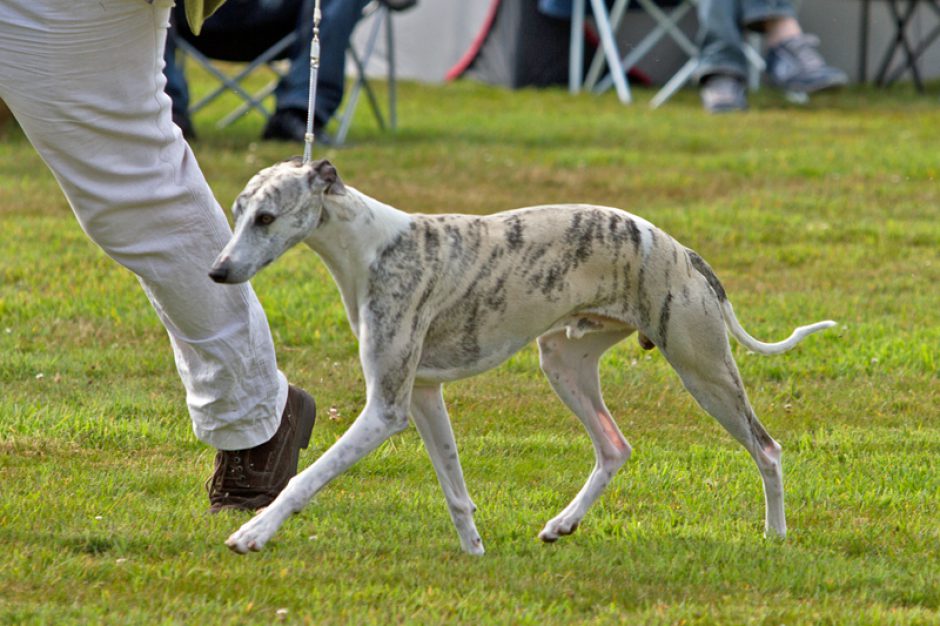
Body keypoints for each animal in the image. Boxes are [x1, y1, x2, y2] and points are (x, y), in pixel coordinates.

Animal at [209, 158, 832, 552]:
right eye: (237, 212)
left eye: (266, 217)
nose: (217, 272)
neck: (372, 246)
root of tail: (683, 251)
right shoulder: (424, 394)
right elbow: (455, 490)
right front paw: (474, 552)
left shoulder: (386, 409)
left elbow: (309, 477)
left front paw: (254, 533)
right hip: (563, 360)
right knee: (615, 447)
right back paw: (562, 525)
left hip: (703, 369)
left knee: (767, 448)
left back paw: (775, 535)